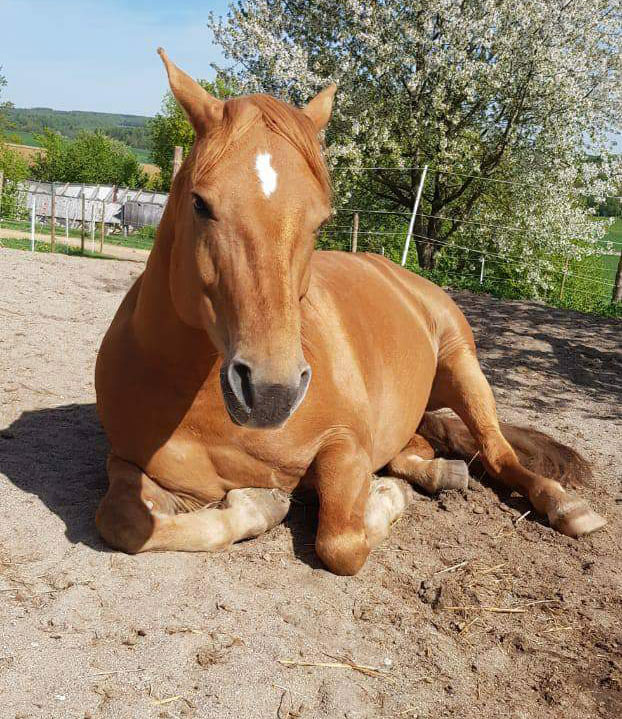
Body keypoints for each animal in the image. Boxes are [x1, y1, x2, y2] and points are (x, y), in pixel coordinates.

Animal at [94, 49, 605, 575]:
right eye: (199, 203)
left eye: (321, 220)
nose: (272, 391)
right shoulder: (127, 464)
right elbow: (121, 522)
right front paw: (260, 504)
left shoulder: (345, 445)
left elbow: (341, 542)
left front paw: (384, 500)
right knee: (420, 447)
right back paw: (440, 471)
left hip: (463, 365)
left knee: (498, 452)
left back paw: (566, 507)